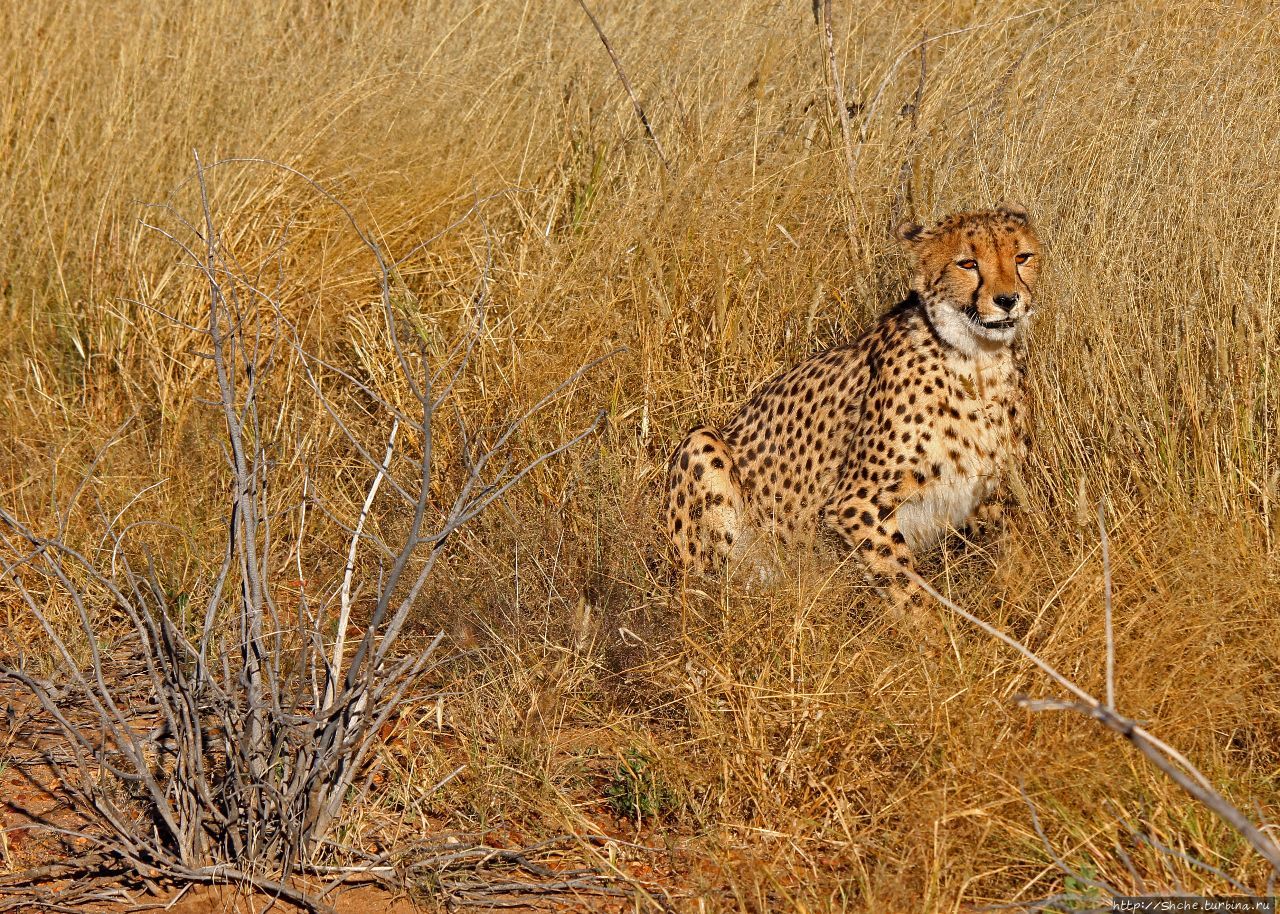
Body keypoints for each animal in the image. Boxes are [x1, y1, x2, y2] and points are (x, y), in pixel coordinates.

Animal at [665, 204, 1044, 619]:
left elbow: (1019, 546)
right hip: (701, 448)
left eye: (1021, 257)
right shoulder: (855, 503)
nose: (1008, 299)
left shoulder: (990, 492)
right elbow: (908, 588)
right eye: (968, 263)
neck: (977, 360)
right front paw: (941, 632)